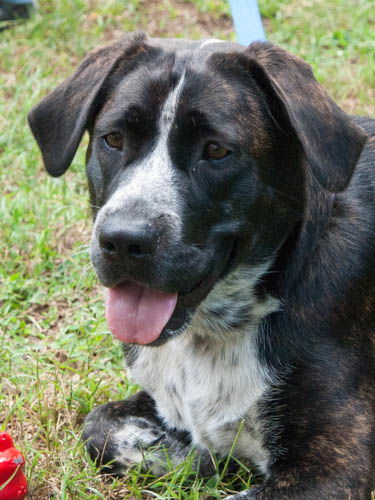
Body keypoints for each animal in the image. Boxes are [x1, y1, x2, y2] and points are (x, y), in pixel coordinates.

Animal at [27, 32, 375, 500]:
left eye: (216, 151)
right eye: (113, 139)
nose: (123, 240)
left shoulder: (337, 465)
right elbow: (99, 426)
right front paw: (194, 455)